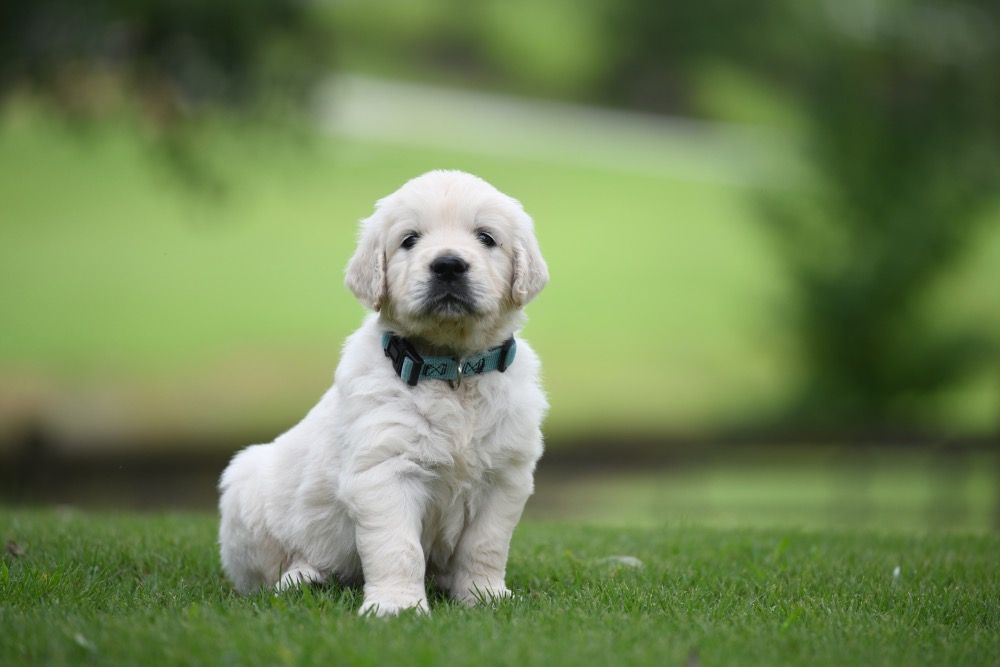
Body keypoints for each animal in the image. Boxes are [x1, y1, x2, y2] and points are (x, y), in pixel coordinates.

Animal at [216, 170, 552, 620]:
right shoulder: (385, 471)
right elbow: (398, 547)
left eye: (486, 237)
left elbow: (486, 545)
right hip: (246, 489)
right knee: (271, 573)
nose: (448, 264)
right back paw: (303, 577)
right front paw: (398, 607)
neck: (452, 370)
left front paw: (484, 596)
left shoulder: (505, 476)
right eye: (409, 239)